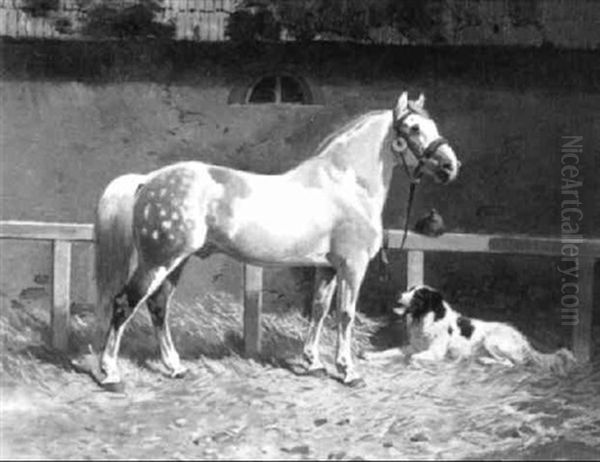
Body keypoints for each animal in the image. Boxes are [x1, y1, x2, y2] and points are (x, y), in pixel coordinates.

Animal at [95, 92, 460, 388]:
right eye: (413, 128)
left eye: (433, 124)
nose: (450, 166)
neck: (346, 184)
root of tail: (148, 180)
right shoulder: (352, 266)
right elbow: (345, 314)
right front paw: (348, 372)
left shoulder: (327, 267)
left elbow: (318, 310)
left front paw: (312, 363)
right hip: (158, 261)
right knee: (125, 303)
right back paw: (110, 374)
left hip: (177, 261)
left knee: (158, 306)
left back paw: (175, 368)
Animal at [366, 284, 576, 374]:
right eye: (409, 289)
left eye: (418, 296)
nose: (398, 295)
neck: (427, 319)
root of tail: (523, 340)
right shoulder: (412, 346)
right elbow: (392, 351)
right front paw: (370, 355)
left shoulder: (434, 352)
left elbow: (413, 358)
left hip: (493, 341)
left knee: (511, 363)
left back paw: (485, 361)